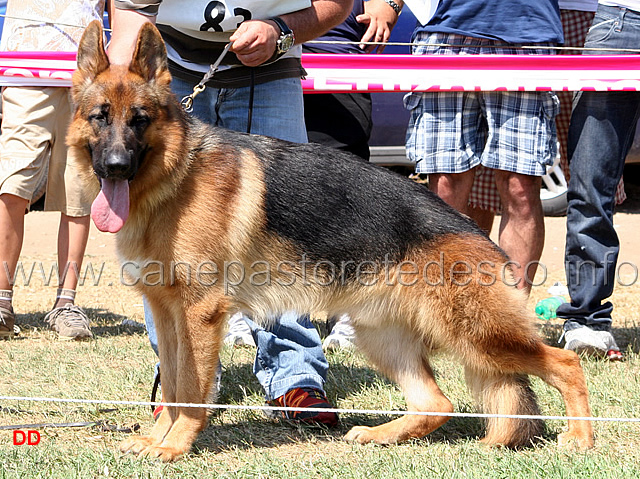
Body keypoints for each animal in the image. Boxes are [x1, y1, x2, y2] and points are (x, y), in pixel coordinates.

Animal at [70, 21, 596, 462]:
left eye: (140, 120)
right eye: (100, 117)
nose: (115, 166)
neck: (174, 177)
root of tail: (473, 232)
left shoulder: (198, 315)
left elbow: (191, 391)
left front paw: (174, 445)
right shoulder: (167, 313)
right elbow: (174, 384)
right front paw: (158, 438)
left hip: (477, 335)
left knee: (566, 363)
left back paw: (580, 437)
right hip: (382, 337)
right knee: (438, 402)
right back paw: (383, 434)